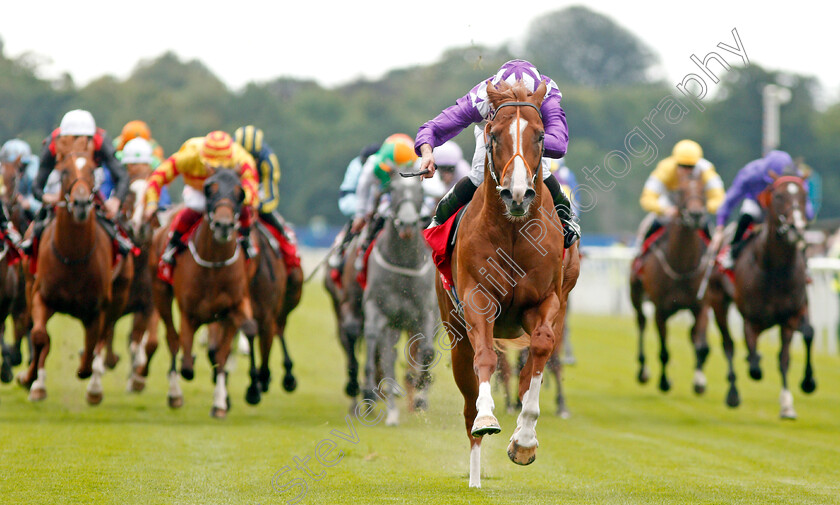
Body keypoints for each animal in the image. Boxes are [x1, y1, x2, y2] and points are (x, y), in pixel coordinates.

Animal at [16, 136, 133, 404]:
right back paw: (37, 383)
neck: (73, 258)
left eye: (91, 170)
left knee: (103, 337)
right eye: (64, 171)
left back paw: (94, 388)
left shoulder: (97, 309)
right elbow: (40, 337)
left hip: (119, 296)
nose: (80, 203)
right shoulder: (41, 295)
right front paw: (30, 379)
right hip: (28, 284)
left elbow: (90, 352)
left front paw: (89, 377)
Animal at [150, 167, 256, 416]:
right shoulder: (188, 312)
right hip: (161, 292)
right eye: (209, 189)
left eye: (240, 193)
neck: (214, 265)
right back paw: (175, 394)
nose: (224, 225)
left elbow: (227, 348)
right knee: (172, 339)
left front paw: (220, 403)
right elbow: (187, 362)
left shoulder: (234, 307)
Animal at [436, 80, 580, 486]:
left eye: (541, 135)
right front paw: (489, 416)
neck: (514, 231)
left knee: (535, 363)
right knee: (468, 403)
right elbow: (486, 356)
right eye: (494, 135)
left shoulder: (546, 302)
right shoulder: (477, 299)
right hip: (454, 331)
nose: (517, 194)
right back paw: (474, 474)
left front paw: (525, 440)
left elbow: (540, 353)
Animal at [628, 169, 712, 394]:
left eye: (703, 190)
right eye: (681, 191)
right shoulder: (661, 310)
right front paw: (665, 382)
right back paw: (643, 370)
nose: (696, 215)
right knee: (641, 322)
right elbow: (664, 350)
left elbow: (701, 346)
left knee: (693, 335)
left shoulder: (701, 306)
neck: (682, 264)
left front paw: (700, 381)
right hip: (635, 294)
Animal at [704, 173, 816, 418]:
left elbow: (785, 358)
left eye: (804, 195)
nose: (796, 227)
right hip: (717, 301)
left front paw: (788, 403)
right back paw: (733, 393)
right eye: (778, 196)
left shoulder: (791, 316)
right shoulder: (751, 320)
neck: (776, 270)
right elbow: (755, 365)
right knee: (728, 344)